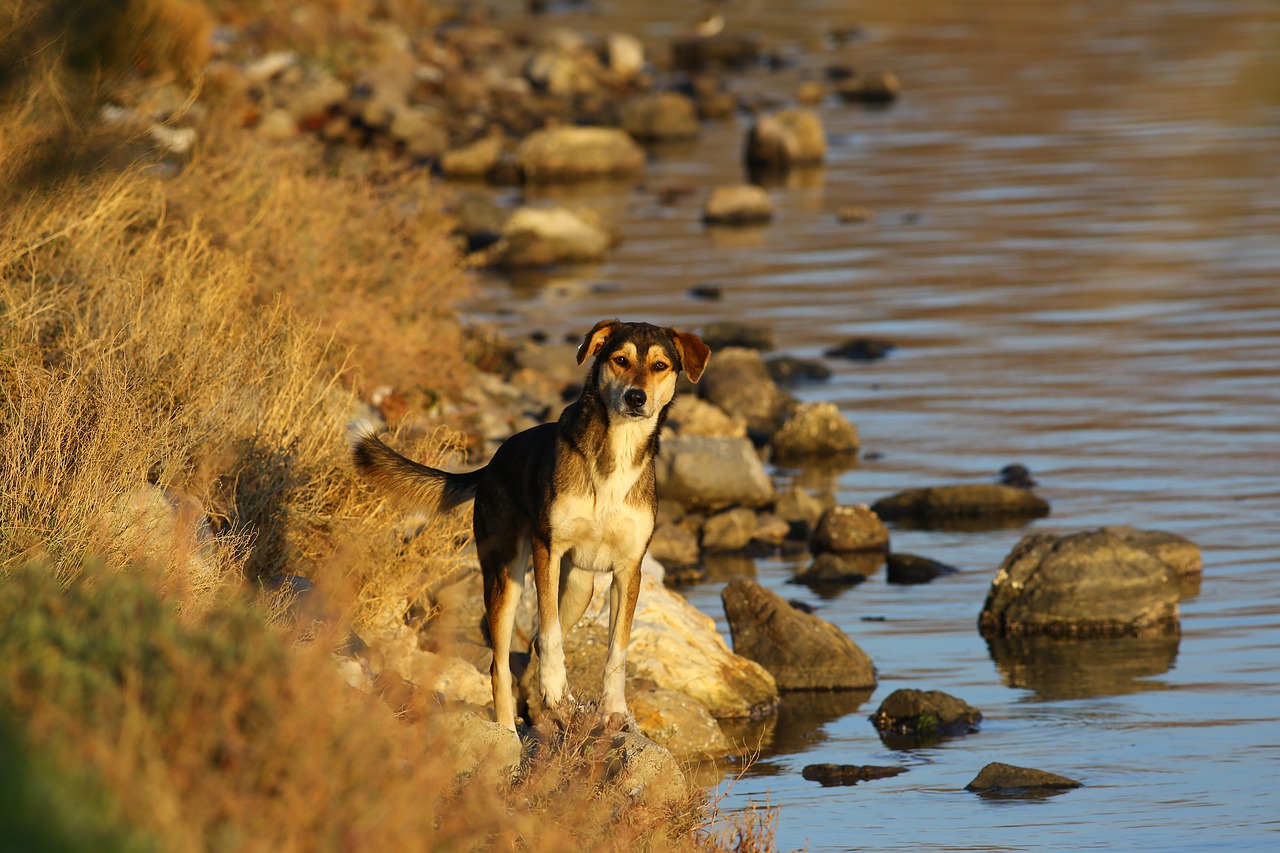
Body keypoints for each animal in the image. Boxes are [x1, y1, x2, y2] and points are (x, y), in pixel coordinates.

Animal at [350, 318, 711, 732]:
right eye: (620, 359)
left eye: (659, 366)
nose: (636, 398)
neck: (617, 449)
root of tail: (492, 463)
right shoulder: (547, 550)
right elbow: (549, 631)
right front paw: (552, 686)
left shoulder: (628, 570)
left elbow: (616, 649)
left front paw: (613, 708)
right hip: (506, 577)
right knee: (501, 664)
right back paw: (509, 730)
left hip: (580, 587)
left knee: (537, 640)